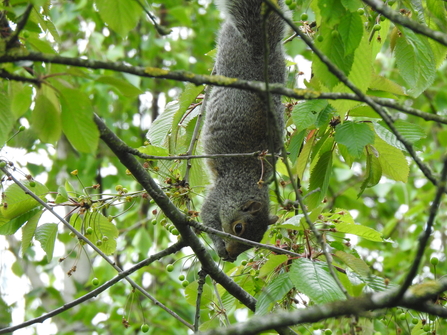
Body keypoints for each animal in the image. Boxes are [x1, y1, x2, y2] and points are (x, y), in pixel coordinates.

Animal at [200, 0, 286, 262]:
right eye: (239, 228)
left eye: (255, 242)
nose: (231, 255)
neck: (246, 182)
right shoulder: (220, 194)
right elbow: (207, 219)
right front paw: (218, 245)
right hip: (230, 51)